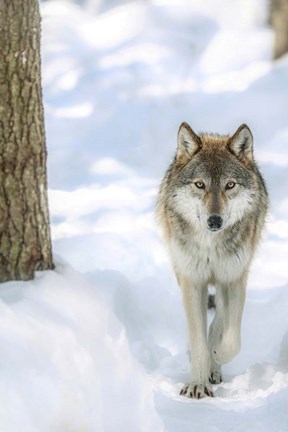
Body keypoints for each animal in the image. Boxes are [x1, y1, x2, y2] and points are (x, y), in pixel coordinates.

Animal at [156, 121, 268, 398]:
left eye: (230, 185)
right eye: (200, 185)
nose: (214, 221)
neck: (210, 246)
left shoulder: (235, 278)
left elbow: (232, 338)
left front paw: (217, 355)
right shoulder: (193, 281)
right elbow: (197, 339)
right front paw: (197, 383)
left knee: (220, 319)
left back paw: (214, 364)